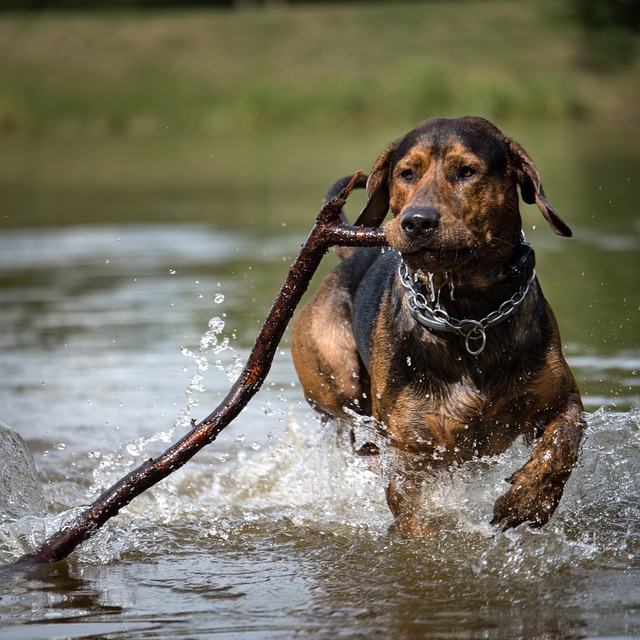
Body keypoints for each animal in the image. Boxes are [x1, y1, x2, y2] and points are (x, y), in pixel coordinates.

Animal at [292, 116, 588, 536]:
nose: (417, 221)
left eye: (466, 171)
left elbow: (562, 442)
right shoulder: (411, 450)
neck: (469, 315)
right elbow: (417, 515)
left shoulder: (563, 400)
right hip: (338, 384)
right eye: (406, 173)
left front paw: (529, 499)